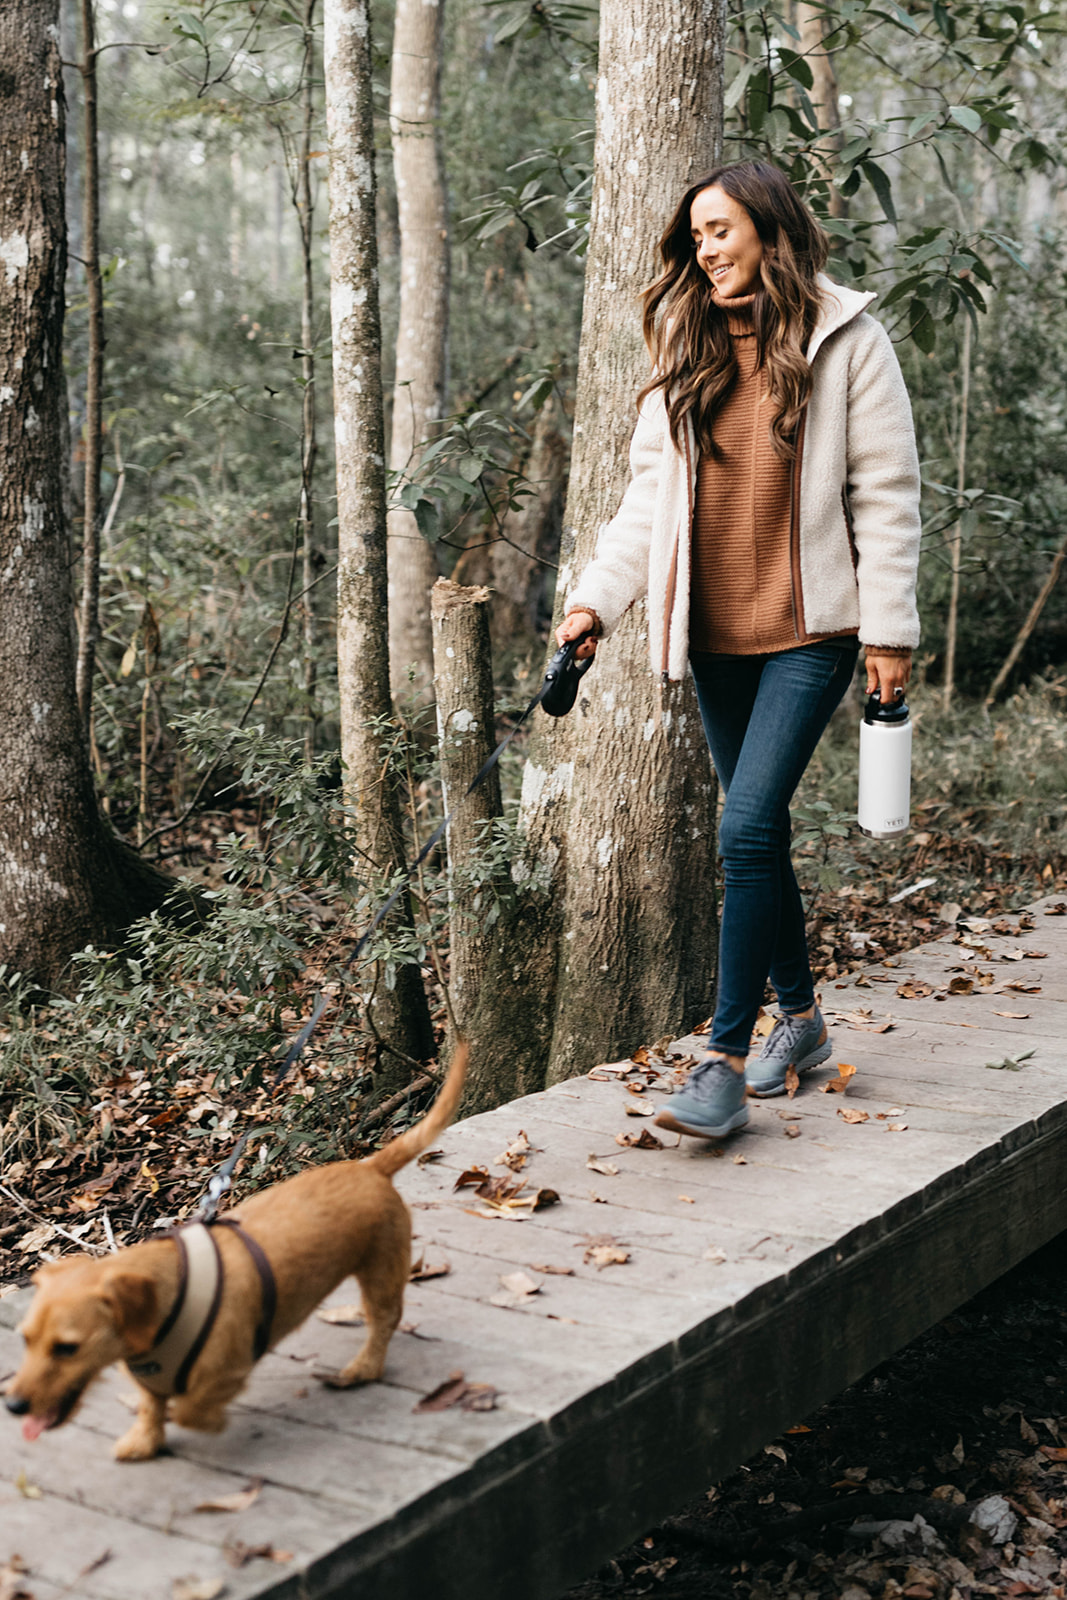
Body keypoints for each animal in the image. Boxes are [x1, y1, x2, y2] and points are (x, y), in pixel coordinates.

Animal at [5, 1049, 463, 1465]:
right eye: (25, 1340)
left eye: (67, 1348)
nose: (12, 1407)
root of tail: (369, 1167)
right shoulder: (149, 1380)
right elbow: (152, 1406)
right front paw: (144, 1441)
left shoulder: (225, 1370)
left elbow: (189, 1409)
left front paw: (205, 1421)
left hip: (381, 1273)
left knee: (383, 1322)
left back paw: (361, 1368)